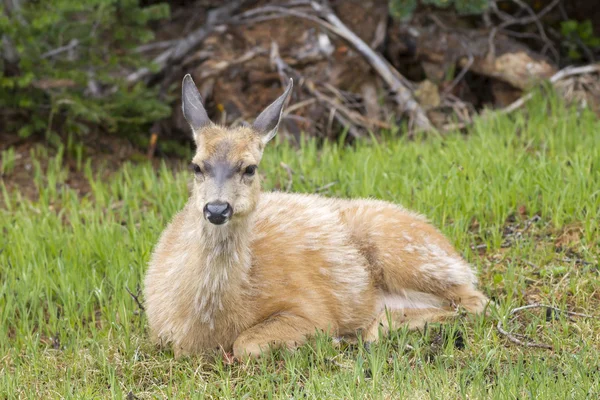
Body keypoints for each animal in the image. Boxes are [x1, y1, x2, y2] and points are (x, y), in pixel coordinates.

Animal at [143, 75, 490, 360]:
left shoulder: (311, 308)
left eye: (250, 168)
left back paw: (363, 335)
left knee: (476, 301)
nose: (217, 209)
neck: (208, 324)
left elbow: (247, 345)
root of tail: (452, 250)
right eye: (196, 166)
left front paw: (322, 340)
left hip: (407, 253)